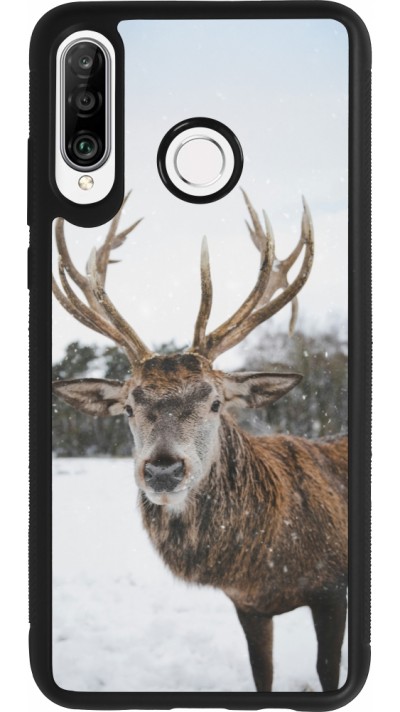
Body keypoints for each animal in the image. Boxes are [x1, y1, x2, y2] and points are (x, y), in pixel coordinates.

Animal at [52, 191, 348, 693]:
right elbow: (261, 674)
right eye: (128, 407)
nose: (163, 469)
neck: (266, 564)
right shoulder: (247, 605)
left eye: (214, 402)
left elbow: (329, 671)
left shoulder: (332, 588)